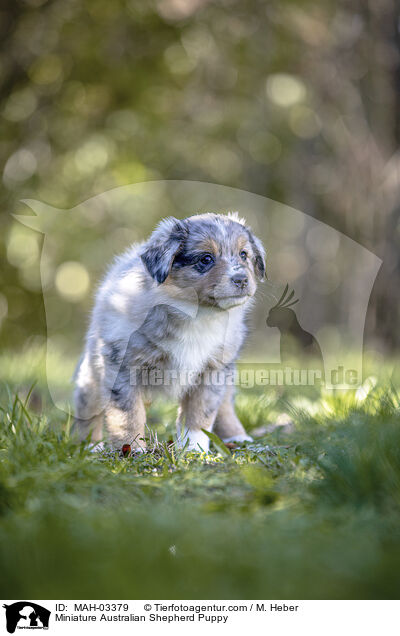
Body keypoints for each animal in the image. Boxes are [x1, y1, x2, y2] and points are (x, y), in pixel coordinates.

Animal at [73, 214, 268, 452]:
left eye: (243, 254)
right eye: (206, 259)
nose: (241, 280)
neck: (197, 313)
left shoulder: (212, 369)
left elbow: (200, 414)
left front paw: (195, 448)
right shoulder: (122, 367)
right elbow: (128, 414)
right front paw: (132, 448)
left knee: (225, 405)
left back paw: (237, 436)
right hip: (91, 377)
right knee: (88, 412)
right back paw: (89, 445)